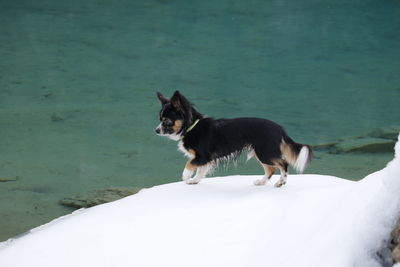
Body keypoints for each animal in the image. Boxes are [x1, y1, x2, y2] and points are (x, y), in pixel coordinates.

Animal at [156, 91, 312, 187]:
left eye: (167, 121)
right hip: (261, 152)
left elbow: (189, 164)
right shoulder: (206, 159)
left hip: (265, 152)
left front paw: (186, 177)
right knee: (271, 170)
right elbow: (201, 171)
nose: (156, 130)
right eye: (160, 119)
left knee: (283, 164)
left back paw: (281, 182)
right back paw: (261, 182)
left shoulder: (202, 156)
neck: (191, 126)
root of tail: (280, 128)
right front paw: (195, 180)